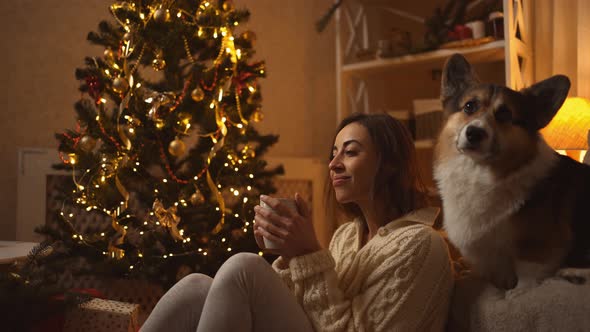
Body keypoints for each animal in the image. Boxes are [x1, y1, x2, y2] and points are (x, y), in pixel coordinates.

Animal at [432, 54, 590, 290]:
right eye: (469, 106)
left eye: (505, 114)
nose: (474, 133)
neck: (480, 174)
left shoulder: (537, 252)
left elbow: (523, 282)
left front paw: (517, 293)